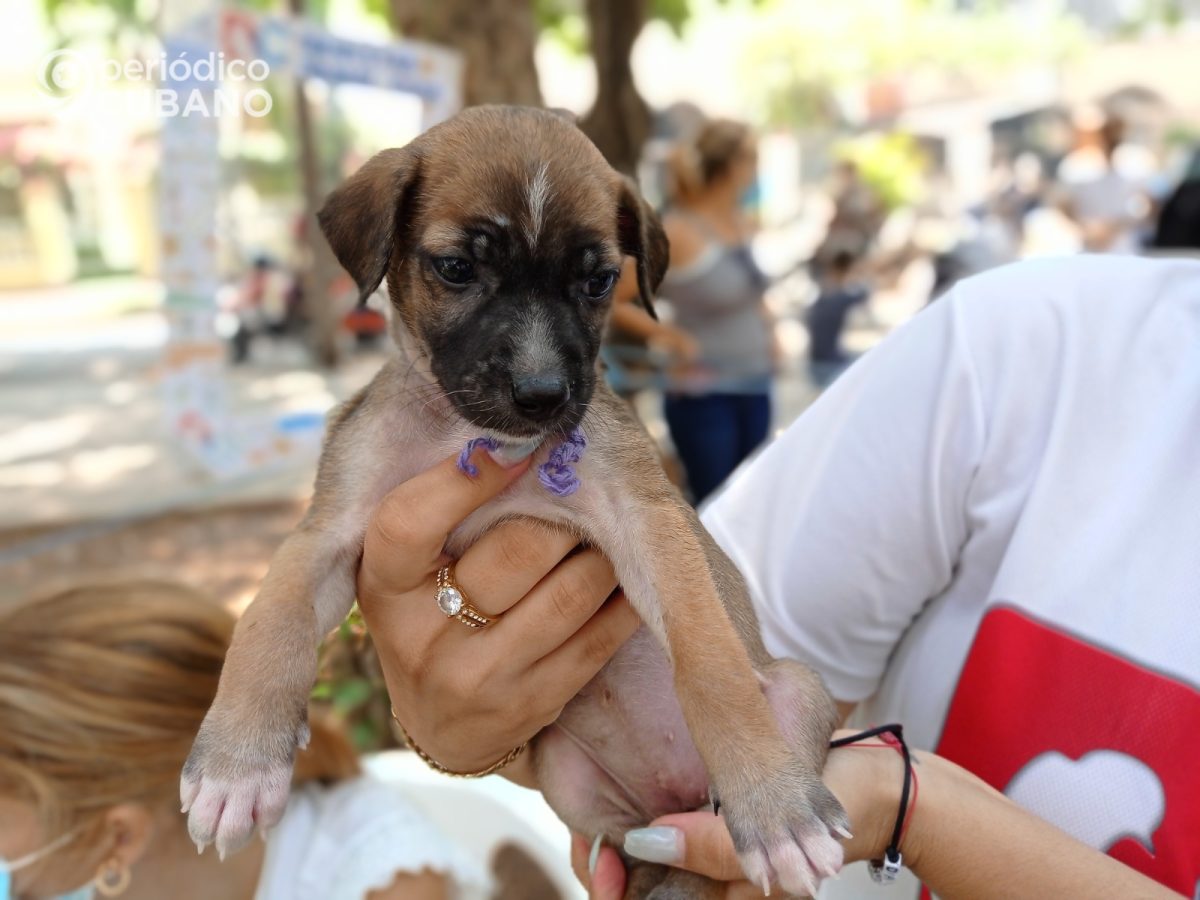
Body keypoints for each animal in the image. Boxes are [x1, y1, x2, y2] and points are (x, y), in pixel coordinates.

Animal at [182, 103, 849, 897]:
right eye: (457, 268)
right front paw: (237, 764)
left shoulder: (651, 530)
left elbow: (710, 662)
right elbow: (267, 623)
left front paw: (774, 804)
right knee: (633, 849)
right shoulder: (327, 535)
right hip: (571, 779)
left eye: (598, 280)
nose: (542, 396)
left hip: (800, 689)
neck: (466, 434)